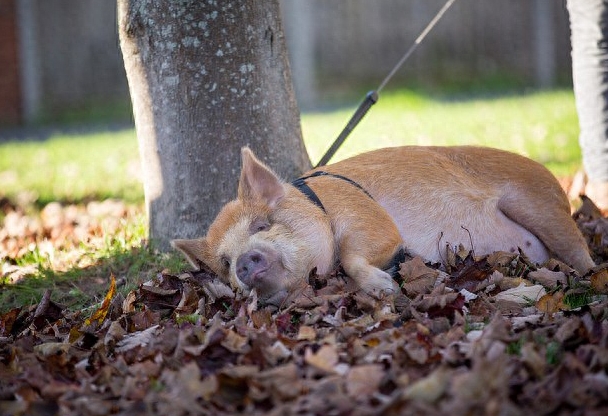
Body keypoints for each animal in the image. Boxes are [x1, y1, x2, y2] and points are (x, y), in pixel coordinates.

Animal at [171, 146, 592, 306]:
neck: (318, 204)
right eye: (225, 263)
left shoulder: (370, 218)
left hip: (540, 204)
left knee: (581, 253)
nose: (244, 261)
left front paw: (385, 289)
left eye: (262, 224)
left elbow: (359, 250)